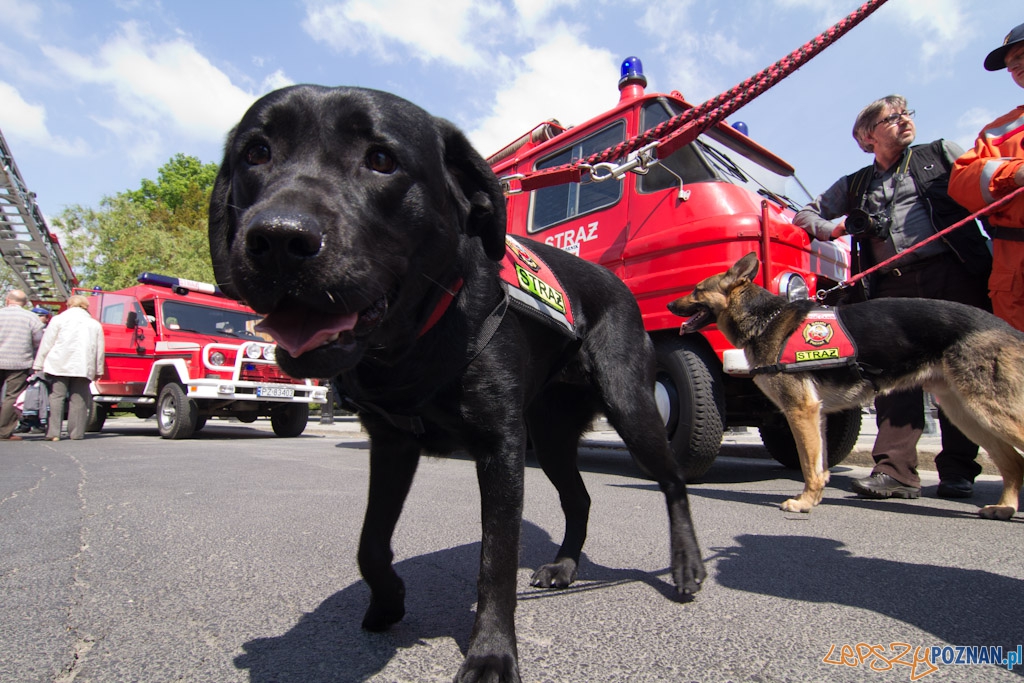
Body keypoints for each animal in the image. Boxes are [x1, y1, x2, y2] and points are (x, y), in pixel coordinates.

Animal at [207, 85, 704, 683]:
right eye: (255, 153)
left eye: (382, 160)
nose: (279, 238)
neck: (417, 338)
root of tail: (615, 280)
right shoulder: (392, 444)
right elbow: (370, 542)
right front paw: (388, 601)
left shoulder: (500, 448)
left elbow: (496, 562)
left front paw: (490, 654)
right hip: (550, 434)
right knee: (579, 498)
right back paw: (564, 566)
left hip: (629, 404)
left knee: (673, 481)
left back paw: (686, 565)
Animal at [667, 253, 1019, 520]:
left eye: (696, 290)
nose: (669, 306)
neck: (765, 319)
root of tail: (1006, 327)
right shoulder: (816, 414)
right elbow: (818, 464)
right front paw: (815, 497)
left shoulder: (801, 410)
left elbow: (808, 464)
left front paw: (805, 502)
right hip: (967, 415)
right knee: (1013, 461)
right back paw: (1004, 508)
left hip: (986, 411)